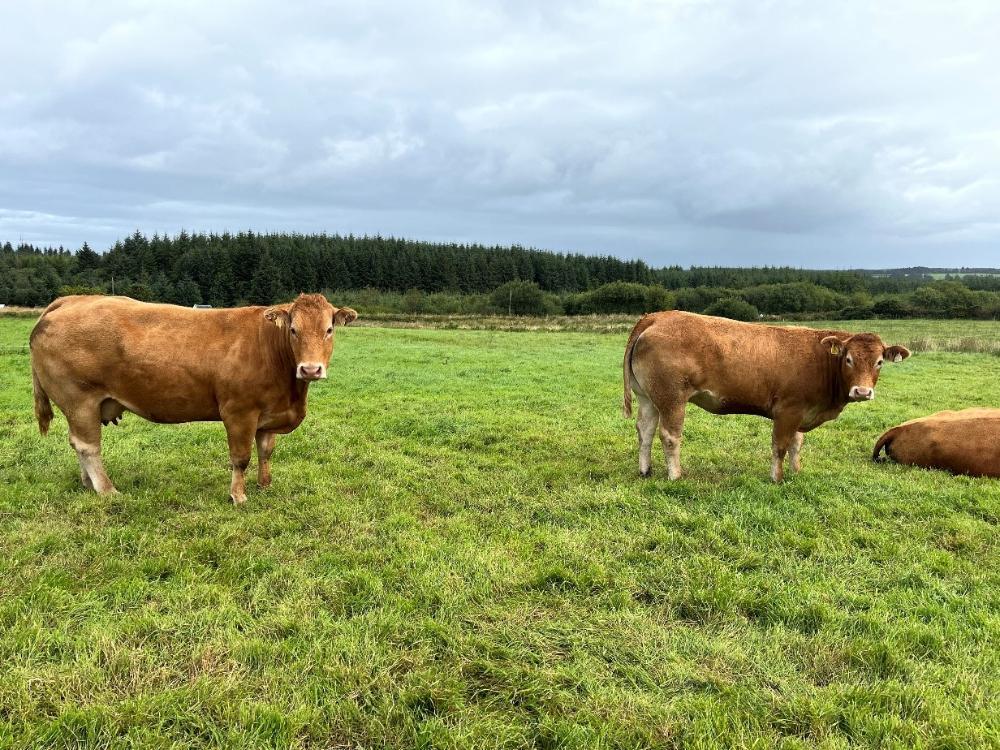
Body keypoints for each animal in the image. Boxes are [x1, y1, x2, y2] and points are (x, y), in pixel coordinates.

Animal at [30, 294, 358, 504]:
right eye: (293, 329)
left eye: (329, 329)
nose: (311, 369)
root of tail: (71, 300)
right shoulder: (239, 412)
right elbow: (241, 457)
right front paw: (238, 496)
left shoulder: (268, 413)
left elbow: (265, 451)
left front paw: (265, 486)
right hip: (79, 399)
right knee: (88, 446)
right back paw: (107, 490)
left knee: (78, 444)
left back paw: (88, 483)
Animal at [623, 311, 911, 482]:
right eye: (848, 359)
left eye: (879, 362)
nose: (862, 391)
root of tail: (657, 316)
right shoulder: (788, 410)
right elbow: (780, 446)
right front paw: (777, 478)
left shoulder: (801, 413)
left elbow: (796, 444)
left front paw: (796, 471)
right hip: (672, 397)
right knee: (670, 436)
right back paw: (675, 475)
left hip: (648, 397)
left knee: (645, 431)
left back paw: (645, 470)